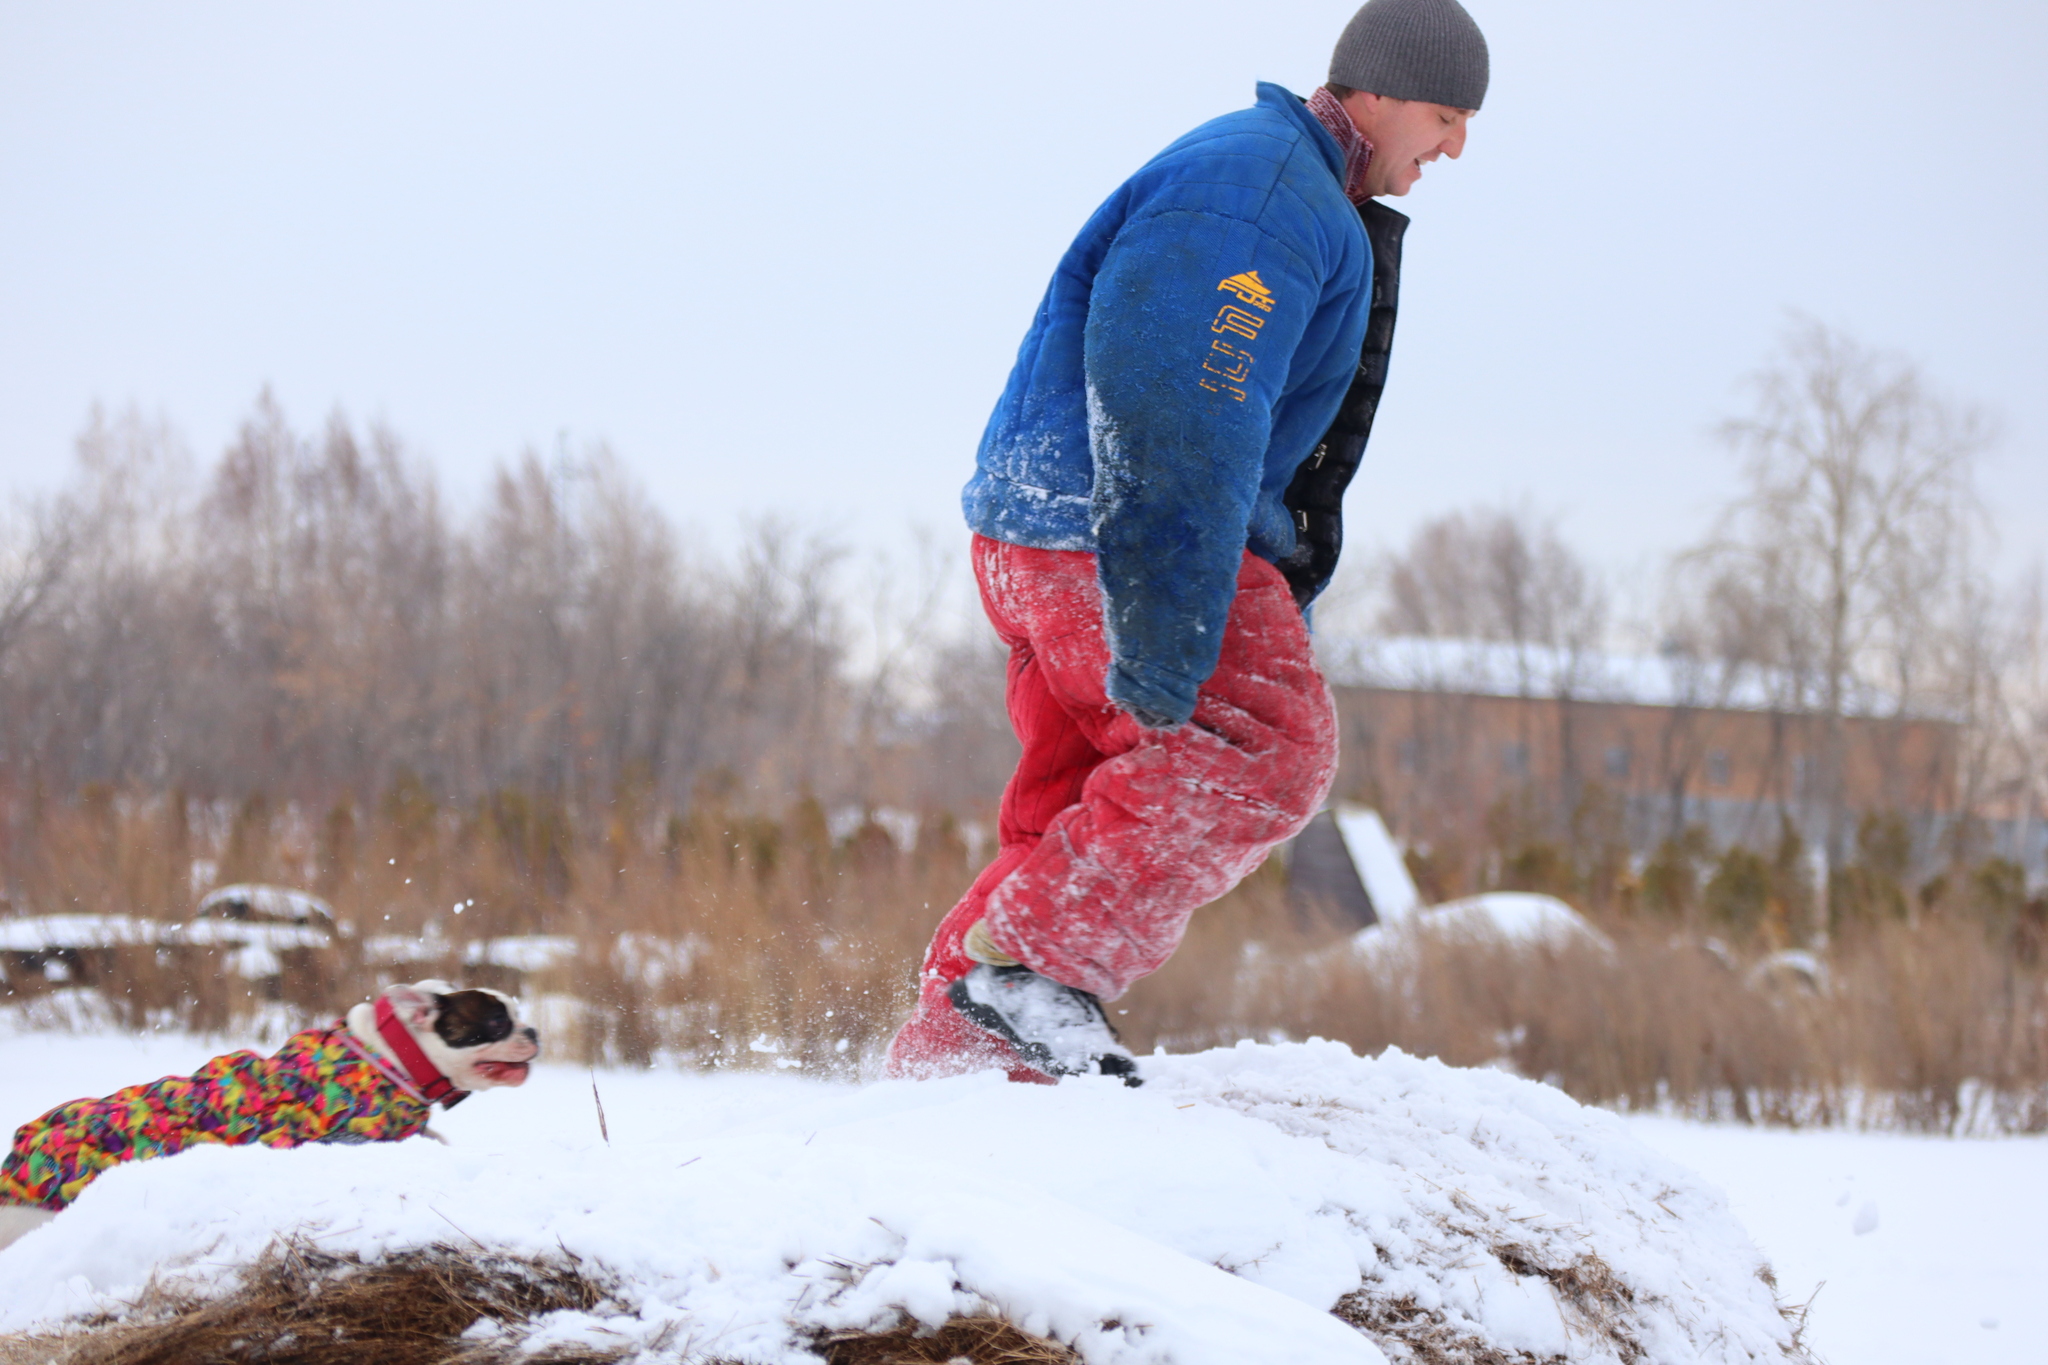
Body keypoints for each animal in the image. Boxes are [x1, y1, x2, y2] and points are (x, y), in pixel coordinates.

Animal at [0, 982, 536, 1252]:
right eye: (496, 1022)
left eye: (516, 1014)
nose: (531, 1030)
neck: (391, 1053)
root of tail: (17, 1164)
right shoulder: (348, 1138)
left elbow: (435, 1137)